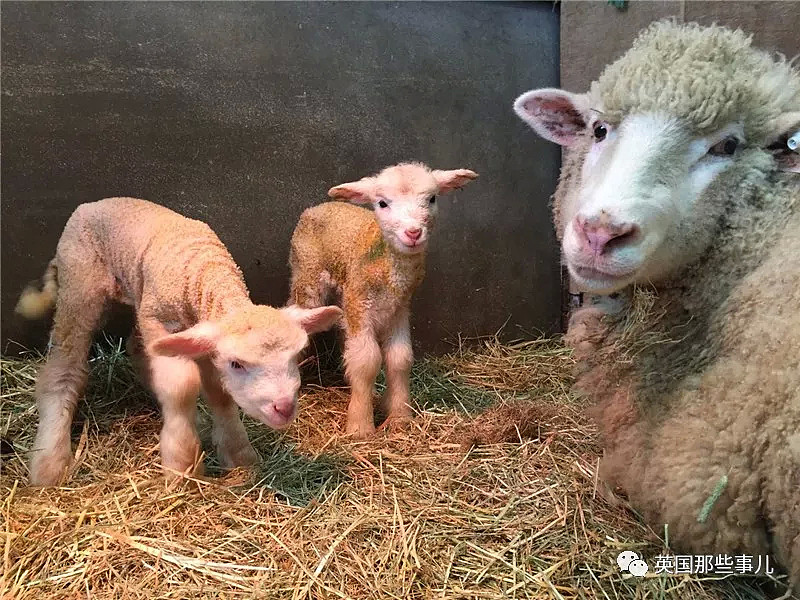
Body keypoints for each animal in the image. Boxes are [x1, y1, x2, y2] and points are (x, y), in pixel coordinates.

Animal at [16, 198, 340, 488]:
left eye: (294, 358)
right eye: (237, 364)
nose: (284, 407)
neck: (200, 266)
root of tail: (88, 205)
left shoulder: (200, 336)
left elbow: (219, 394)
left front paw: (239, 454)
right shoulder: (159, 321)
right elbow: (182, 385)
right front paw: (183, 463)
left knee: (136, 348)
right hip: (80, 286)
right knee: (64, 366)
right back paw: (50, 463)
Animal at [286, 163, 476, 436]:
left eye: (432, 198)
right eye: (383, 203)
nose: (413, 232)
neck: (387, 267)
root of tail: (318, 207)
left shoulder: (398, 309)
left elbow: (399, 358)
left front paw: (400, 418)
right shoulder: (361, 306)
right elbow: (367, 361)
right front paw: (360, 427)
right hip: (308, 277)